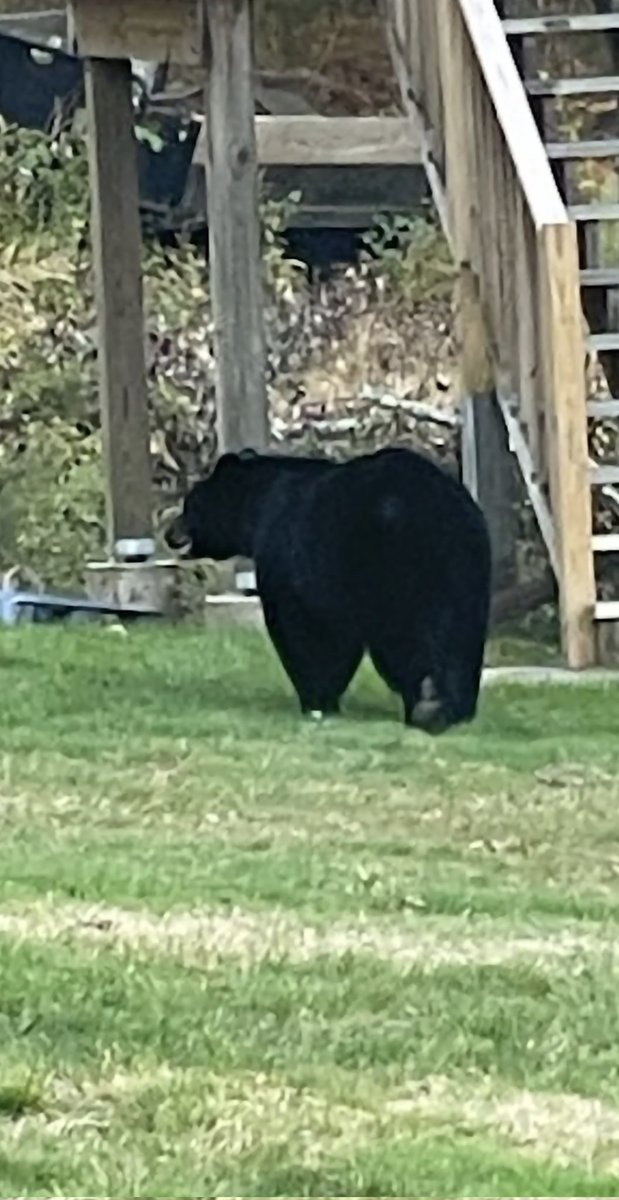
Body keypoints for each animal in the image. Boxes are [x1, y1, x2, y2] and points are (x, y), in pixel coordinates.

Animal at [166, 447, 491, 734]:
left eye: (189, 503)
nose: (170, 533)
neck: (259, 505)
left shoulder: (294, 559)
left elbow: (305, 633)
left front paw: (317, 699)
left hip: (391, 568)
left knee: (404, 638)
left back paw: (426, 704)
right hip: (466, 567)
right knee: (462, 634)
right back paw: (458, 706)